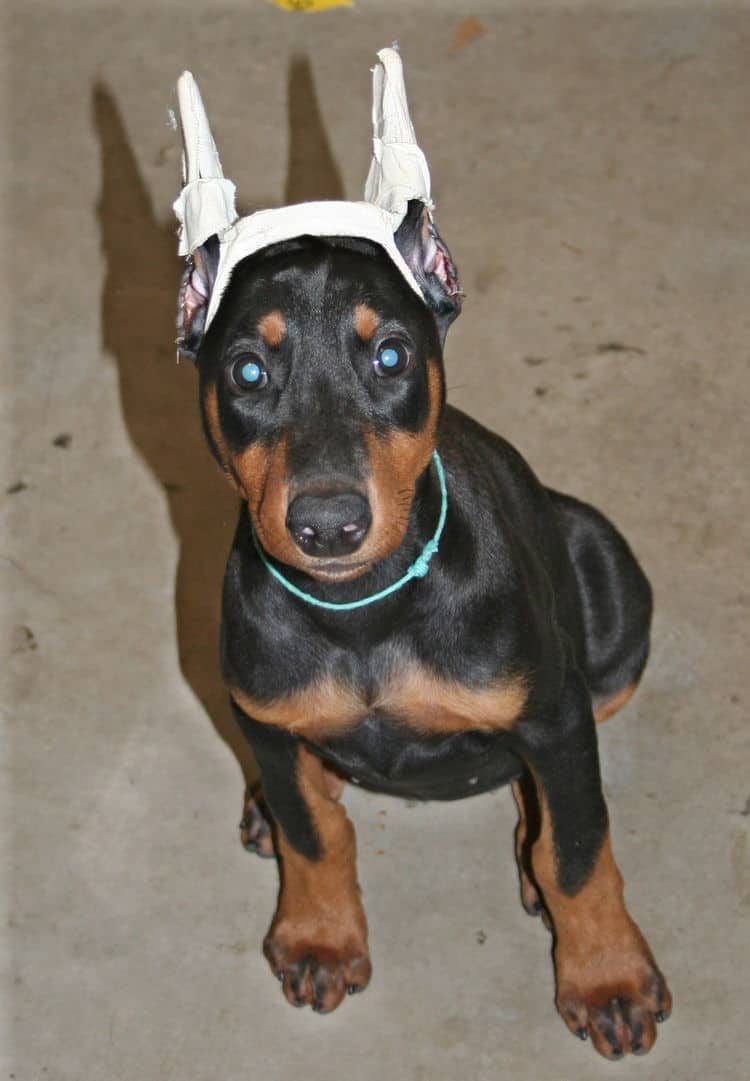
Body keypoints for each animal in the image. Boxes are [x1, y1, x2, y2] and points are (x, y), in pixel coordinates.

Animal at [179, 201, 674, 1055]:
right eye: (246, 371)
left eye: (390, 355)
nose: (328, 525)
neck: (362, 612)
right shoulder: (266, 714)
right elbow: (314, 834)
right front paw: (320, 936)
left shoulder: (555, 715)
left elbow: (576, 849)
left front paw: (608, 977)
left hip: (610, 581)